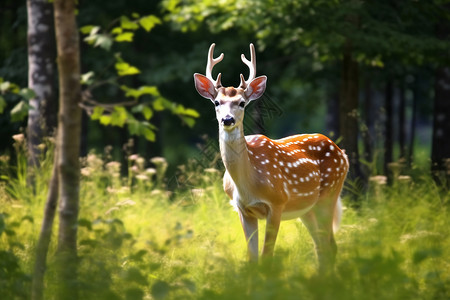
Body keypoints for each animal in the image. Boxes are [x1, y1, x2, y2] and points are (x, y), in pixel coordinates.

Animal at [192, 42, 348, 272]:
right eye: (216, 102)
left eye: (242, 103)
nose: (227, 120)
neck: (248, 185)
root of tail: (342, 152)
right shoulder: (243, 210)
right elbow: (252, 259)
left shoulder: (277, 203)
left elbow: (267, 257)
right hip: (307, 209)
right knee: (322, 246)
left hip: (329, 195)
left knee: (329, 245)